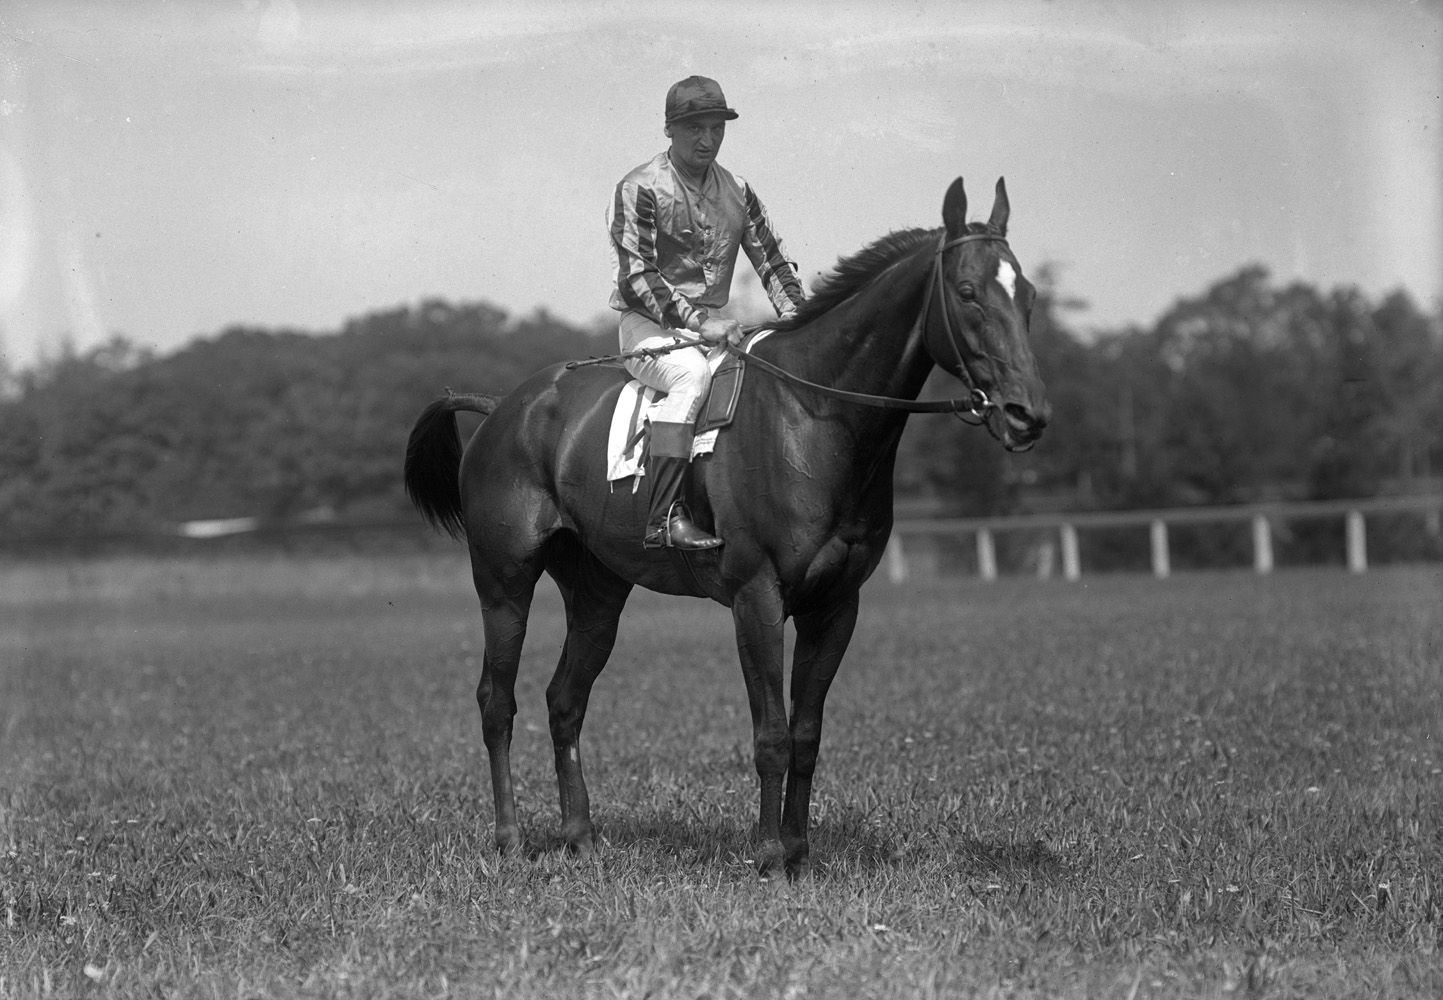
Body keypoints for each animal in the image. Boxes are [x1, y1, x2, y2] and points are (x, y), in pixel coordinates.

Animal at [406, 175, 1050, 877]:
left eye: (1029, 295)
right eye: (967, 292)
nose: (1027, 413)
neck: (814, 414)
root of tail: (505, 407)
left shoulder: (836, 605)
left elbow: (806, 733)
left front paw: (799, 851)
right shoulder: (756, 595)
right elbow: (770, 734)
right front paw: (769, 855)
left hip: (598, 593)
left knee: (564, 701)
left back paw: (580, 834)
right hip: (504, 582)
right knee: (497, 701)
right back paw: (510, 837)